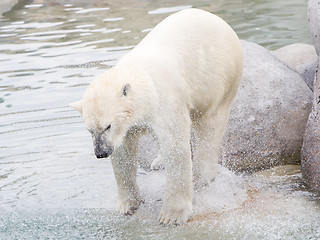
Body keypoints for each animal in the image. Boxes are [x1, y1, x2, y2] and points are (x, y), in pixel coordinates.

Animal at [70, 8, 242, 224]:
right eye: (89, 130)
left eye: (108, 125)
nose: (101, 152)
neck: (142, 80)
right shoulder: (127, 126)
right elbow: (124, 153)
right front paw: (127, 205)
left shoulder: (166, 102)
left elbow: (175, 147)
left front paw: (172, 215)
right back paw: (159, 161)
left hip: (219, 78)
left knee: (211, 124)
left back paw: (202, 175)